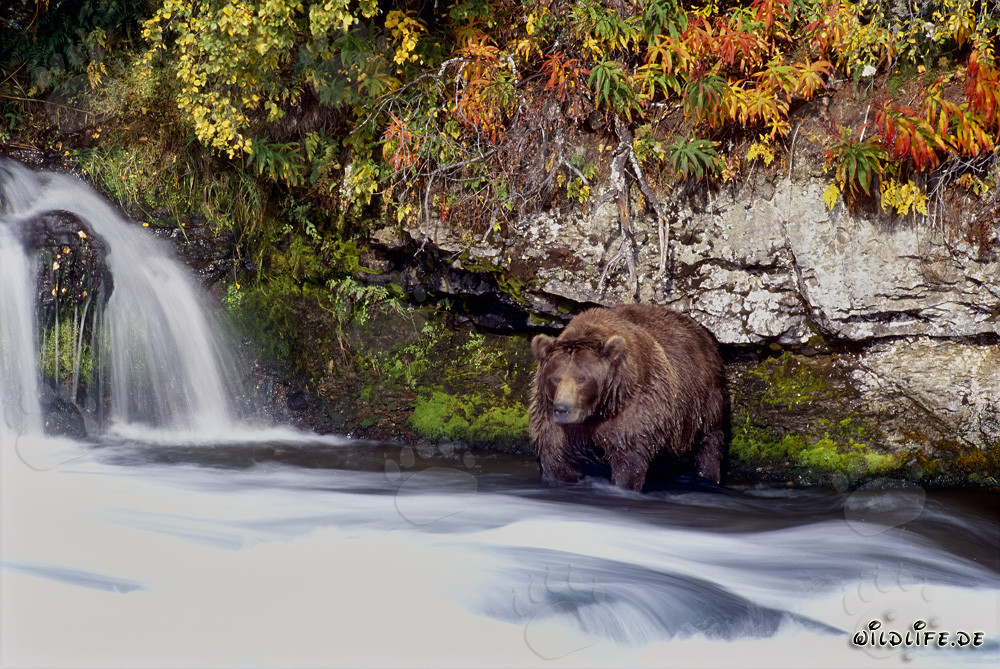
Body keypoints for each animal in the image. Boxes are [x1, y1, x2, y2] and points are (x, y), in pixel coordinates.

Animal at [529, 304, 726, 492]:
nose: (562, 408)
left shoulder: (634, 410)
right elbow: (556, 458)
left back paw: (709, 476)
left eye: (581, 378)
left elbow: (628, 460)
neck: (599, 409)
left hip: (702, 400)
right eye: (555, 378)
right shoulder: (553, 421)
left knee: (709, 441)